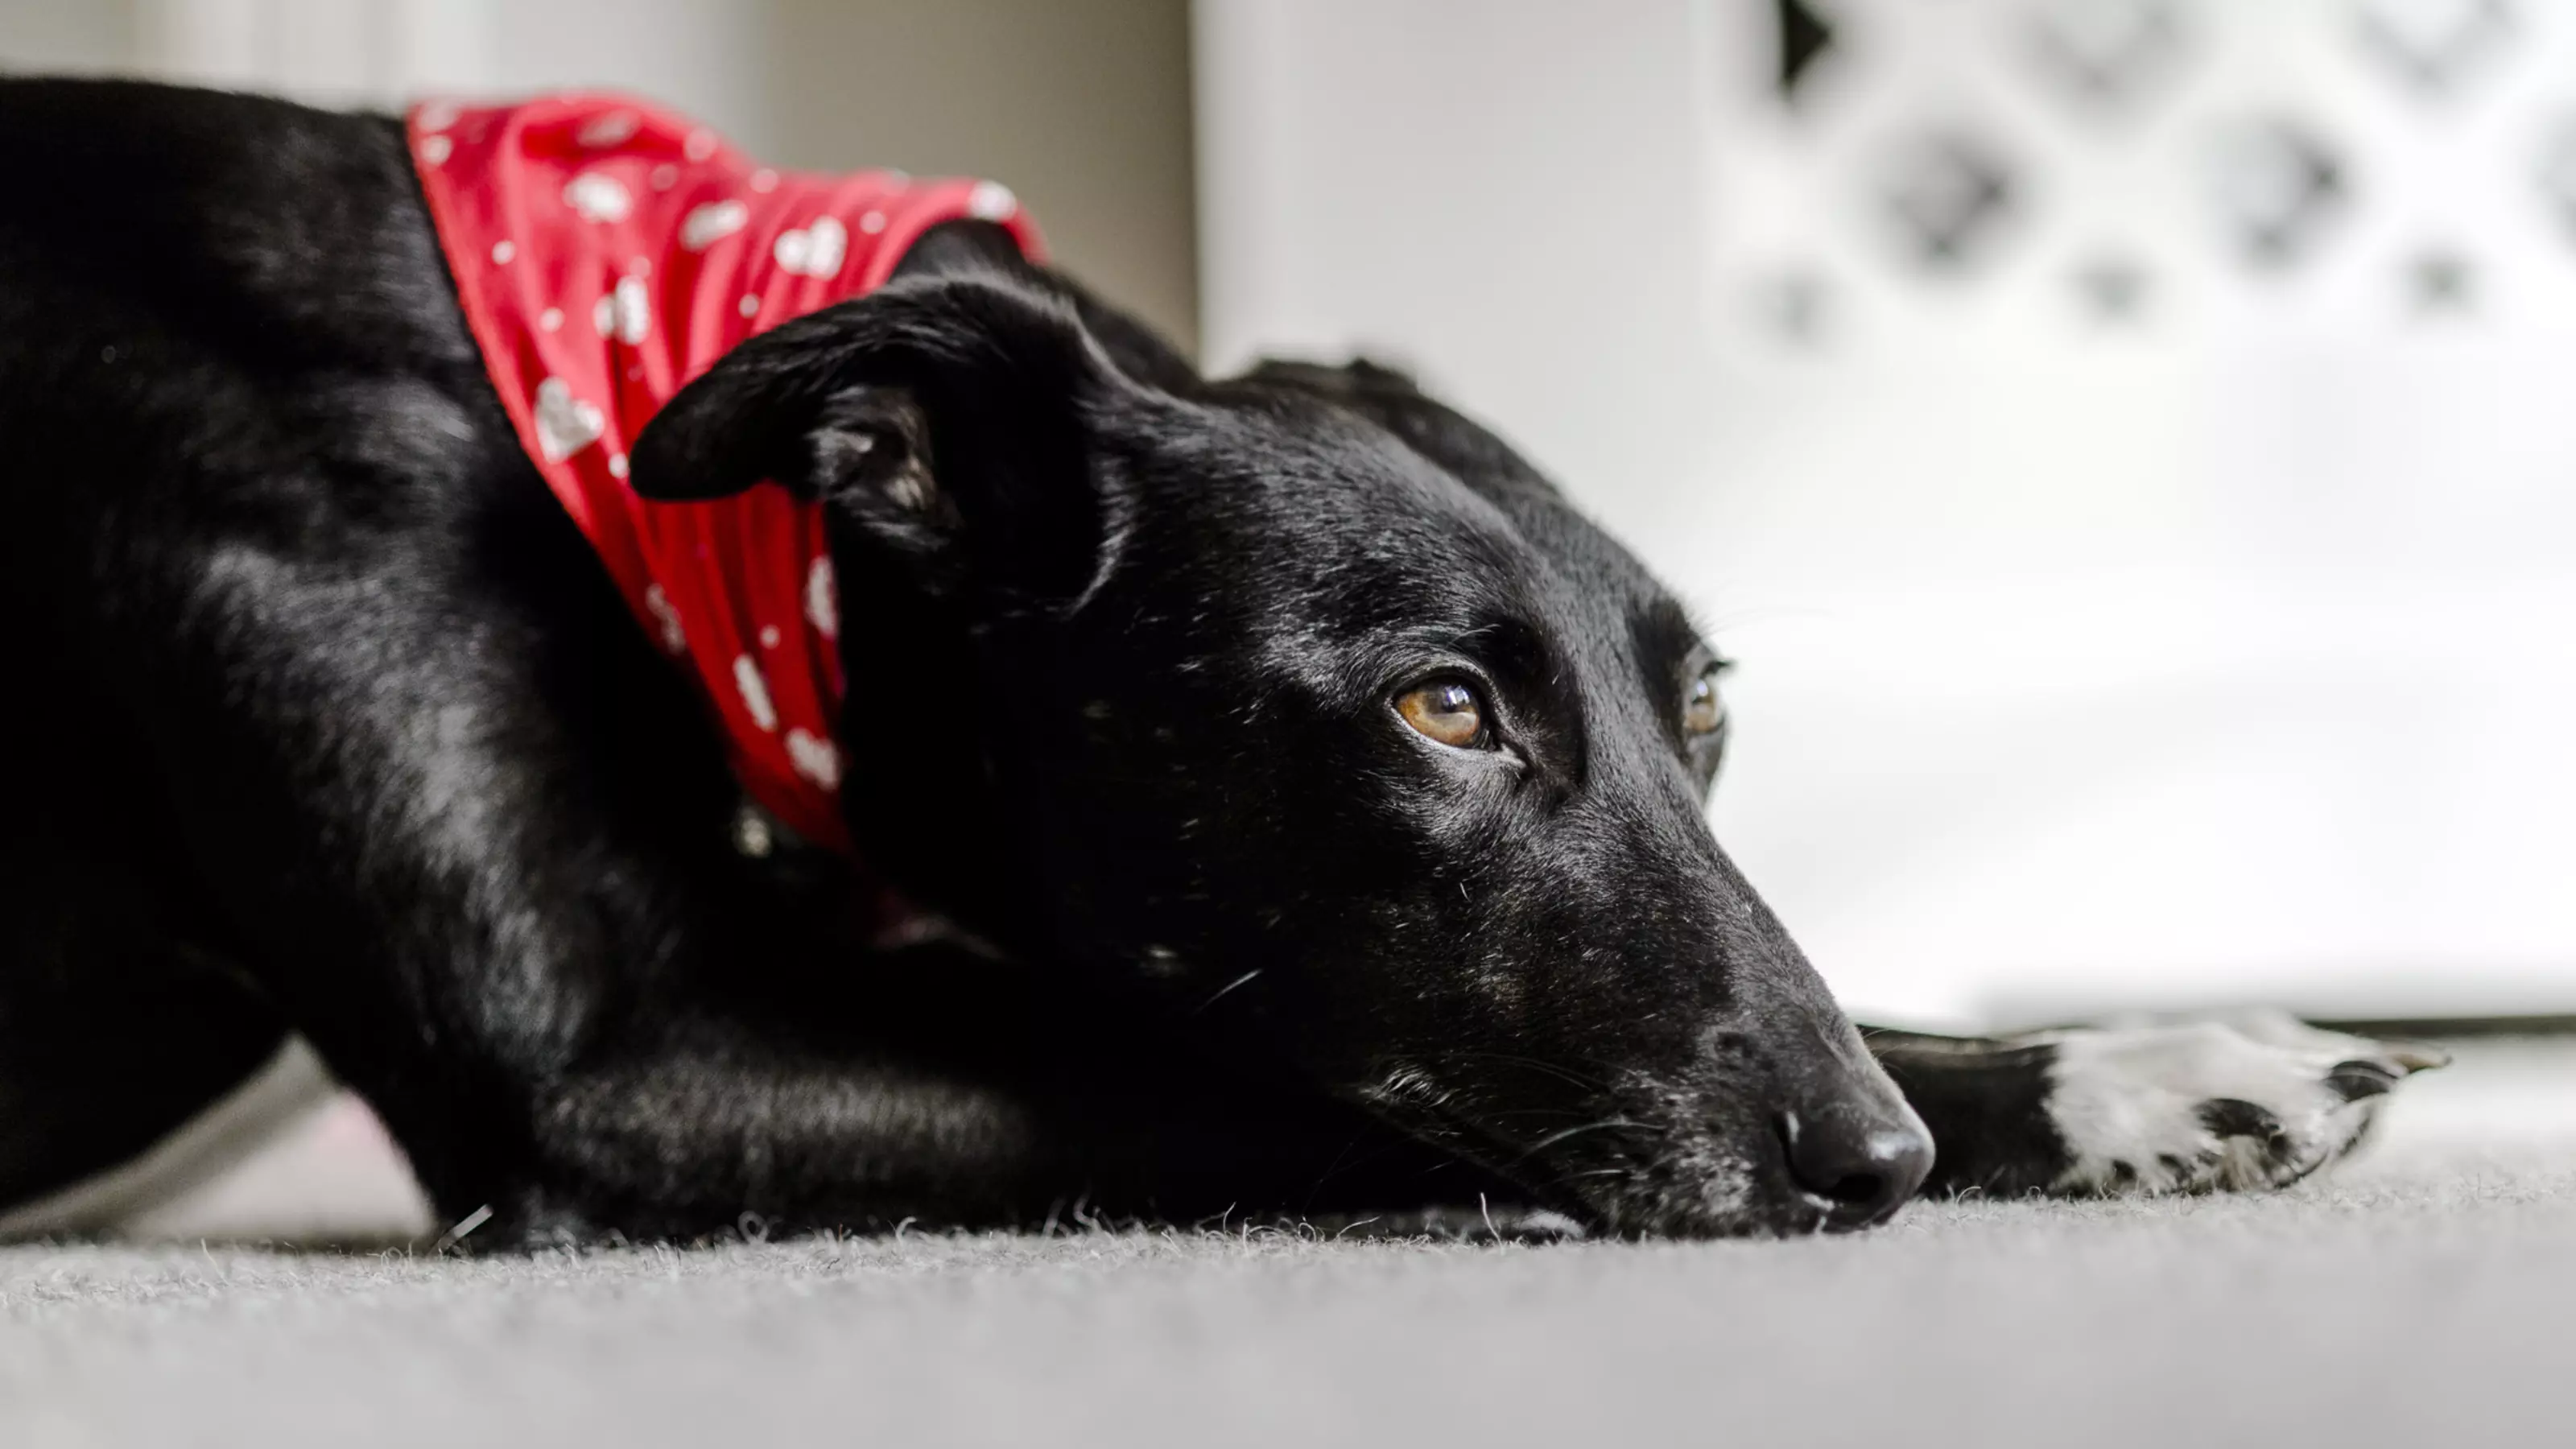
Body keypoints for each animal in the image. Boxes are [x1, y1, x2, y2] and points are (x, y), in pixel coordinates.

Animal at [0, 81, 2431, 1242]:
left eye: (1706, 708)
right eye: (1441, 708)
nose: (1876, 1166)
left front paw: (2154, 1064)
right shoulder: (619, 1083)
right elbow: (1231, 1068)